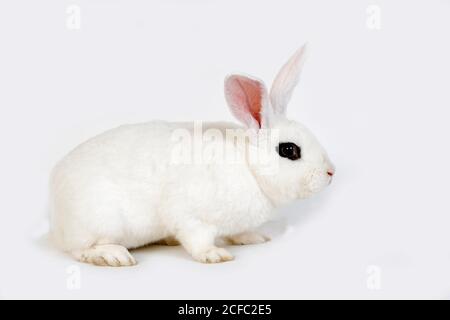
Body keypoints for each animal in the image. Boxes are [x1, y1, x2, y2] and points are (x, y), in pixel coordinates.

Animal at [51, 44, 336, 264]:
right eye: (289, 150)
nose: (330, 172)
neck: (248, 164)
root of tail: (56, 214)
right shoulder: (191, 216)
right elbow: (197, 239)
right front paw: (215, 255)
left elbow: (240, 231)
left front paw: (254, 238)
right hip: (101, 222)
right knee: (79, 249)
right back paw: (113, 256)